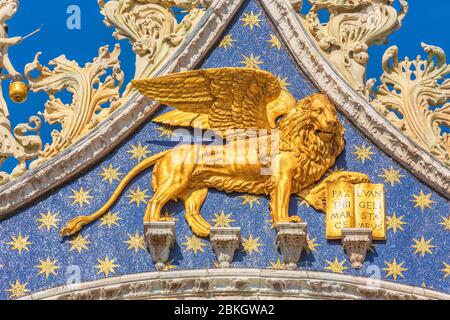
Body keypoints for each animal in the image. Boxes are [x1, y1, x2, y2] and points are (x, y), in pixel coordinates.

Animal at [60, 67, 370, 238]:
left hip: (197, 189)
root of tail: (165, 154)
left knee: (189, 211)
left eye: (332, 112)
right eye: (317, 111)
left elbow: (323, 186)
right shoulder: (283, 179)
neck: (302, 140)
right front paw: (285, 222)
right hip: (175, 180)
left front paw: (355, 181)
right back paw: (158, 224)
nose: (333, 124)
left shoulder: (299, 183)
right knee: (153, 203)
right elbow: (280, 205)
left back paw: (209, 231)